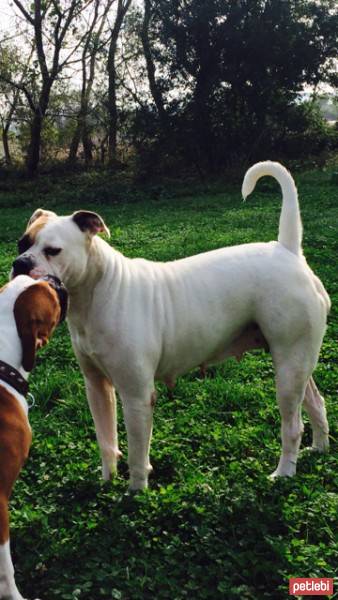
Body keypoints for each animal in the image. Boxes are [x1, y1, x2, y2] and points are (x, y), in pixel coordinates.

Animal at [10, 162, 330, 490]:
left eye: (53, 250)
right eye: (22, 243)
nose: (20, 263)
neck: (97, 290)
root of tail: (288, 251)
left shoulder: (136, 396)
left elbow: (137, 453)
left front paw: (135, 494)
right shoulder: (97, 387)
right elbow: (107, 441)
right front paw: (107, 482)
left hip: (289, 366)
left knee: (292, 425)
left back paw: (284, 472)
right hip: (297, 364)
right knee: (316, 402)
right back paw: (318, 448)